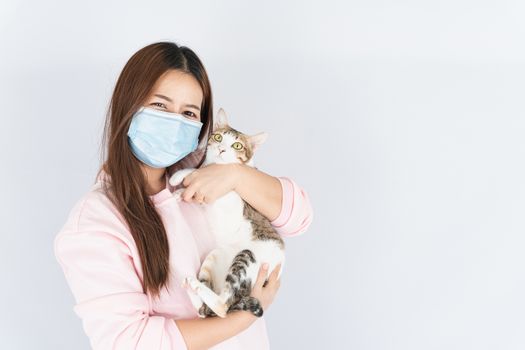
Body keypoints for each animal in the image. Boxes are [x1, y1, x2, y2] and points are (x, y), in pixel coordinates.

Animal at [167, 108, 282, 318]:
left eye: (237, 145)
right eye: (218, 137)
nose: (221, 149)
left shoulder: (229, 192)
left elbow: (201, 171)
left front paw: (179, 177)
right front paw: (179, 192)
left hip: (247, 255)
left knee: (222, 307)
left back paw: (196, 286)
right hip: (215, 254)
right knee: (206, 311)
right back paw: (192, 287)